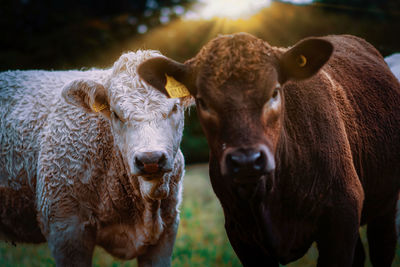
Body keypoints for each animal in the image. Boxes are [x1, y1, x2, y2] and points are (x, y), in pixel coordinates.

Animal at [138, 34, 400, 267]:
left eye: (274, 92)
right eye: (202, 101)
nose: (246, 160)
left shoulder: (341, 217)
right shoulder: (241, 234)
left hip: (386, 206)